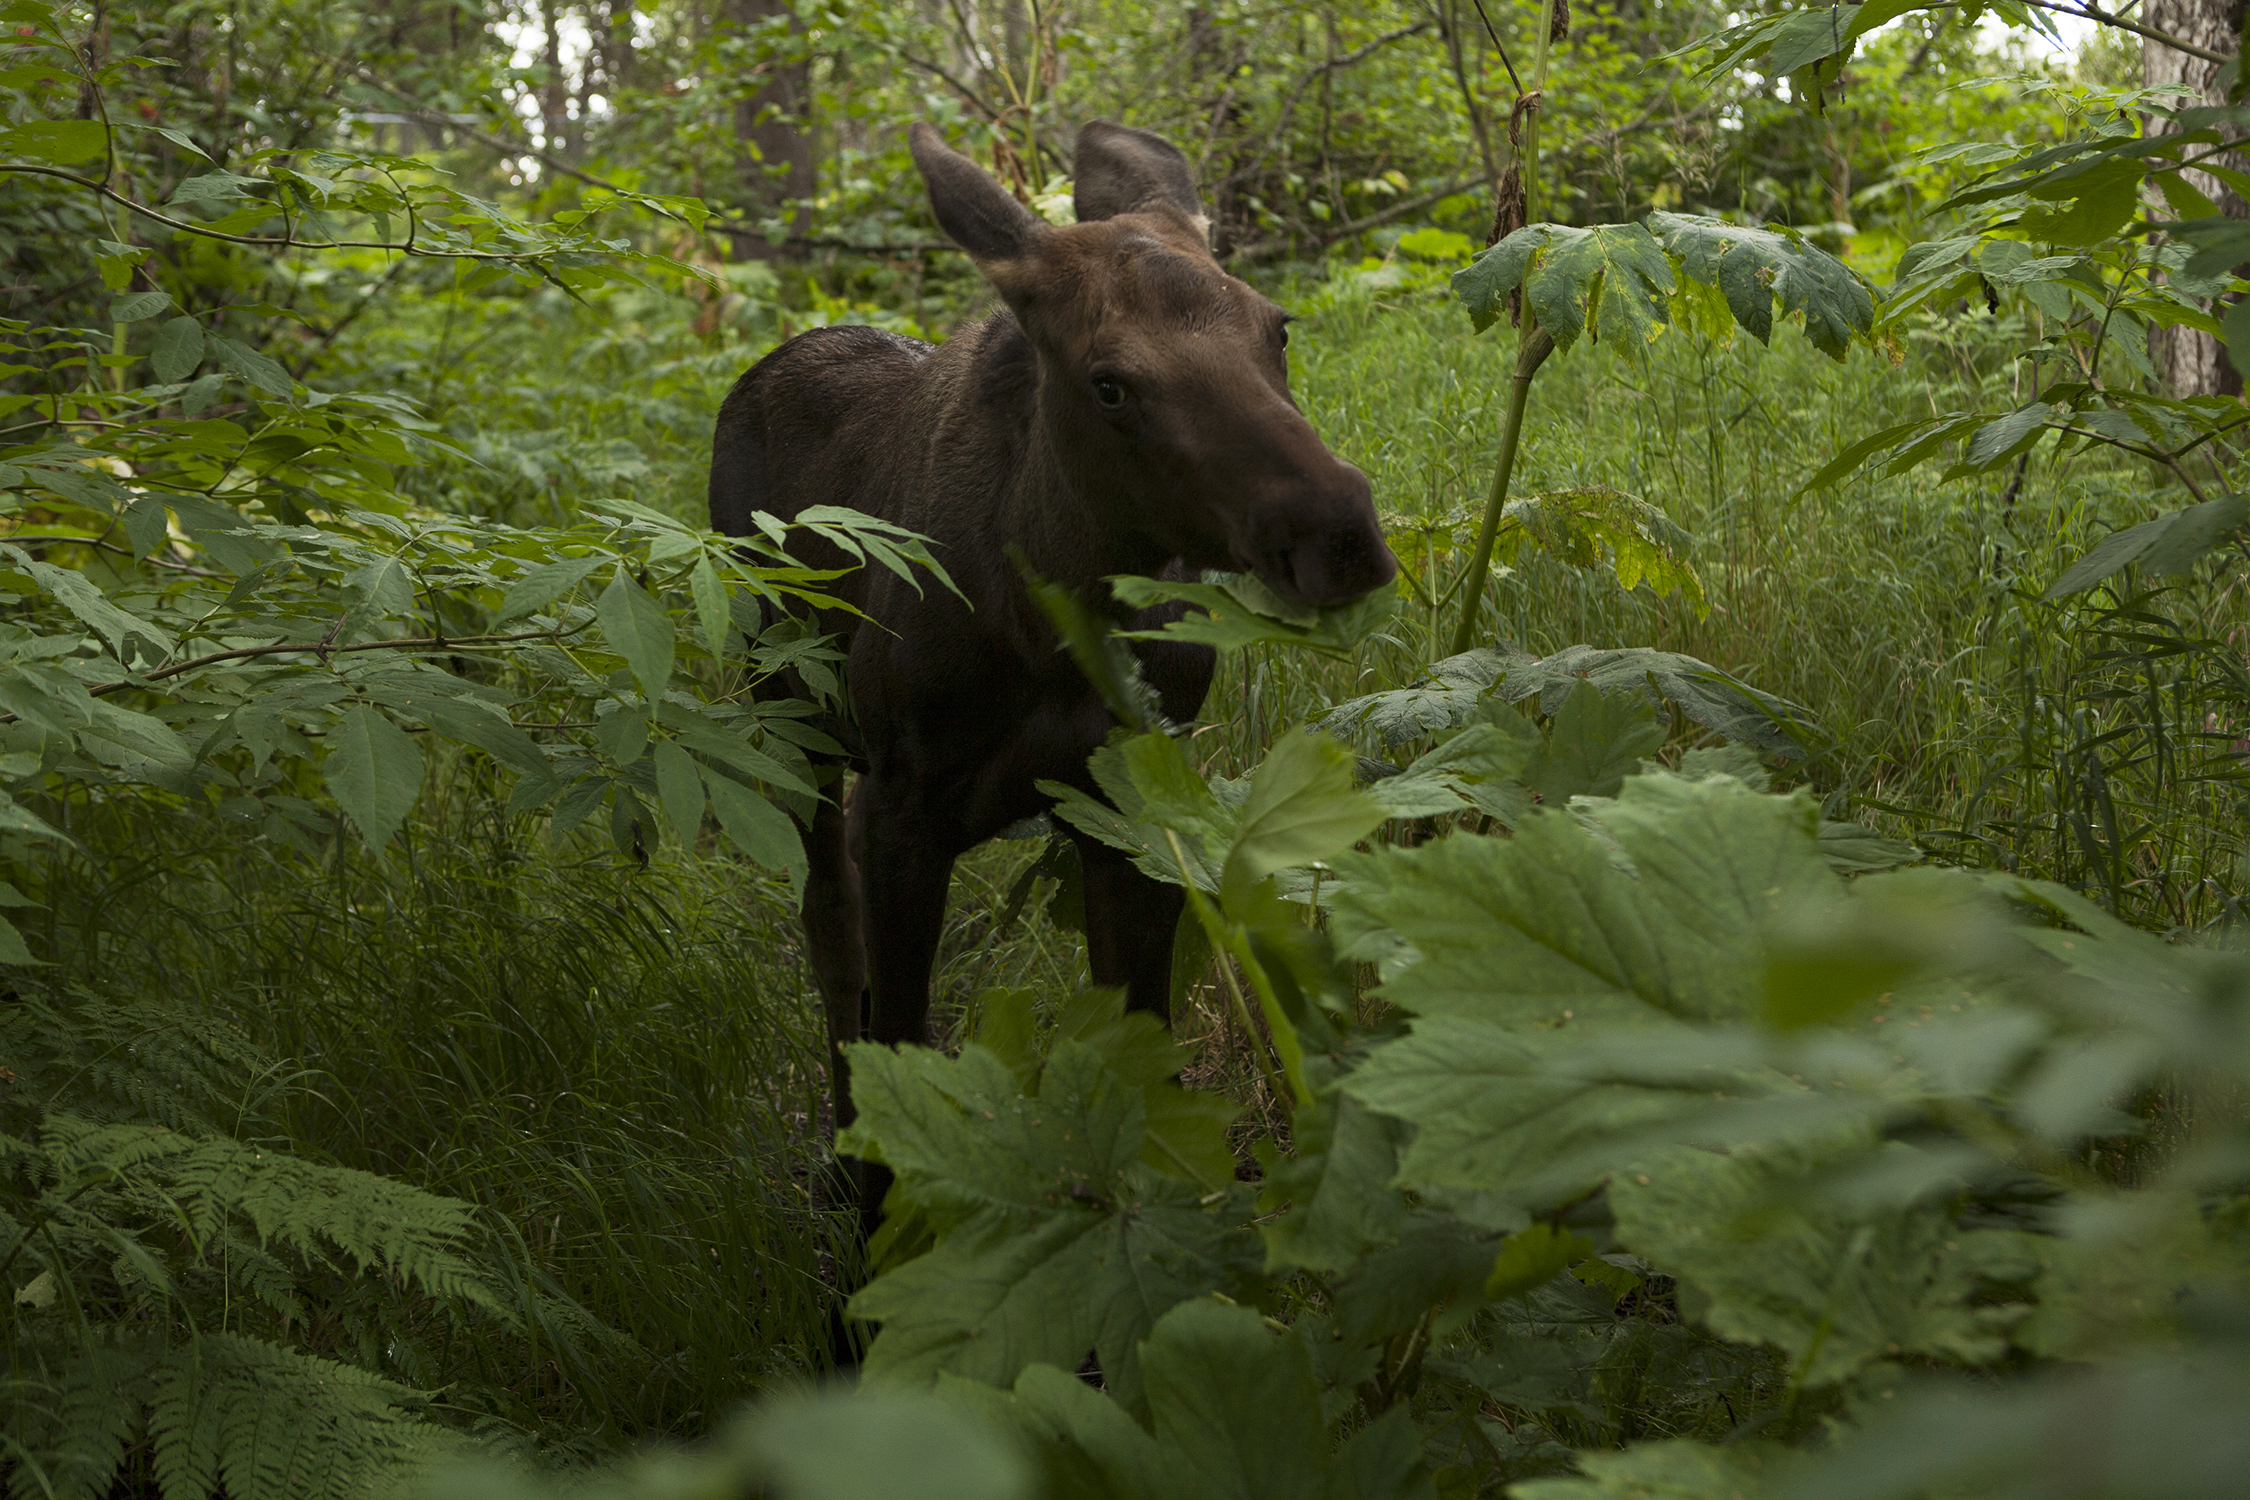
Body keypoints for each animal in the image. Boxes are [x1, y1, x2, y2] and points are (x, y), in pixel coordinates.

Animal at [711, 123, 1395, 1232]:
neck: (1055, 618)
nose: (1337, 532)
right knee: (826, 916)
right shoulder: (905, 804)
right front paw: (872, 1244)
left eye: (1277, 328)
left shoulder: (1127, 804)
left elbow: (1143, 1044)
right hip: (789, 715)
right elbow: (899, 1030)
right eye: (1109, 383)